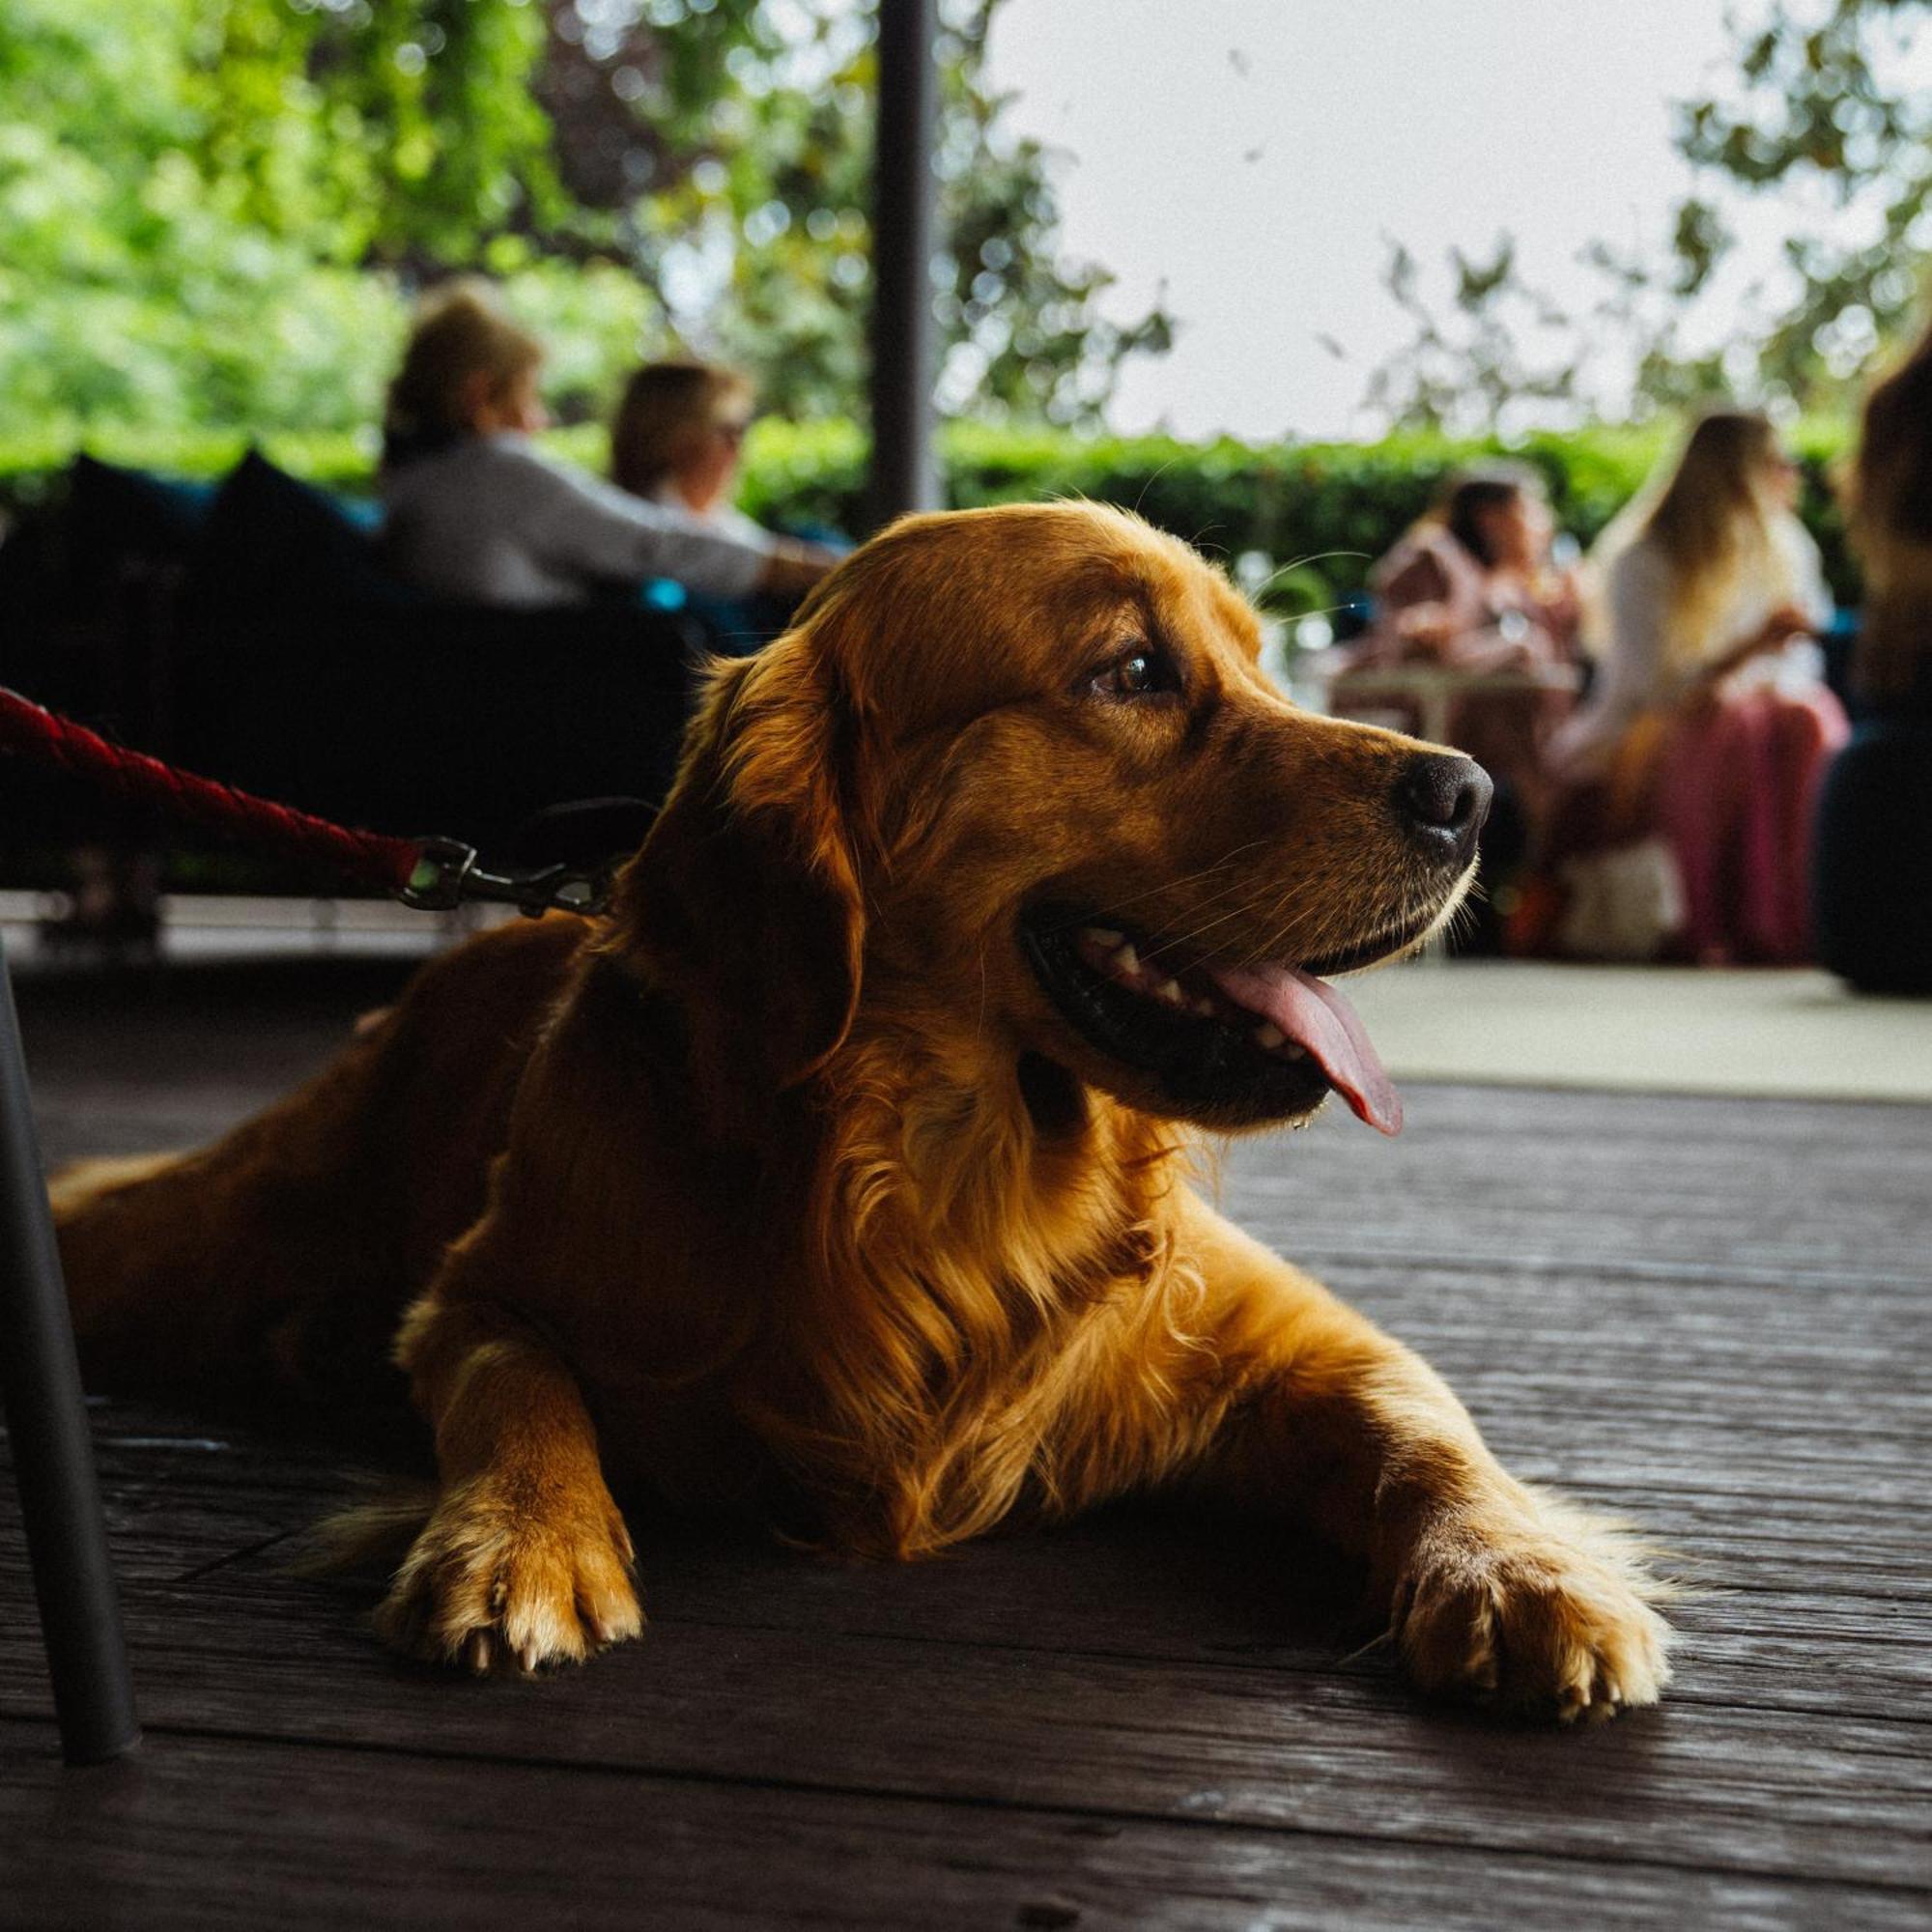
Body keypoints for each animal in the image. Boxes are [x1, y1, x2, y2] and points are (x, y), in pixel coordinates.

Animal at [52, 502, 1669, 1723]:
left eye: (1259, 664)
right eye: (1135, 669)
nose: (1470, 795)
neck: (942, 1181)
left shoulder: (1295, 1339)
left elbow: (1424, 1424)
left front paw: (1523, 1575)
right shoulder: (482, 1287)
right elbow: (514, 1384)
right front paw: (520, 1544)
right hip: (229, 1222)